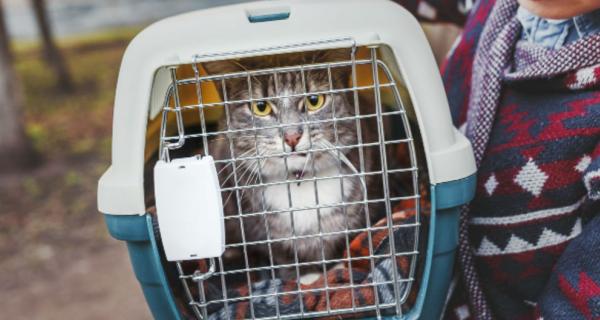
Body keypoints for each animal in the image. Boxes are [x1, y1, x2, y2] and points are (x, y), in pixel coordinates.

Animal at [205, 50, 384, 278]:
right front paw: (306, 277)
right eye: (260, 107)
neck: (299, 179)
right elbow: (283, 256)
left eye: (314, 101)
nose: (291, 136)